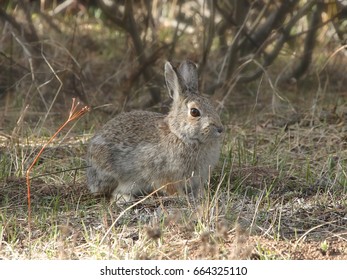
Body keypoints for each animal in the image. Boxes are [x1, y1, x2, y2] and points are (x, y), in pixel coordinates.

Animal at [85, 59, 224, 199]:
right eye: (194, 112)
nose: (220, 129)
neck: (179, 135)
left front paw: (202, 195)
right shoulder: (165, 176)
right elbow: (171, 188)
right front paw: (183, 197)